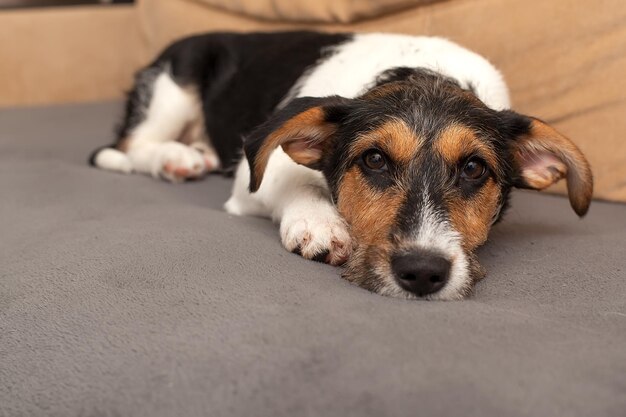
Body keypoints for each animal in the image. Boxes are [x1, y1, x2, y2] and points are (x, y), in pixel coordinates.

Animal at [88, 31, 588, 300]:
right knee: (124, 146)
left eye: (473, 169)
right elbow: (295, 184)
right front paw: (320, 224)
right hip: (172, 84)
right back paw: (176, 158)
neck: (422, 73)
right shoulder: (255, 176)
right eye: (374, 160)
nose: (423, 273)